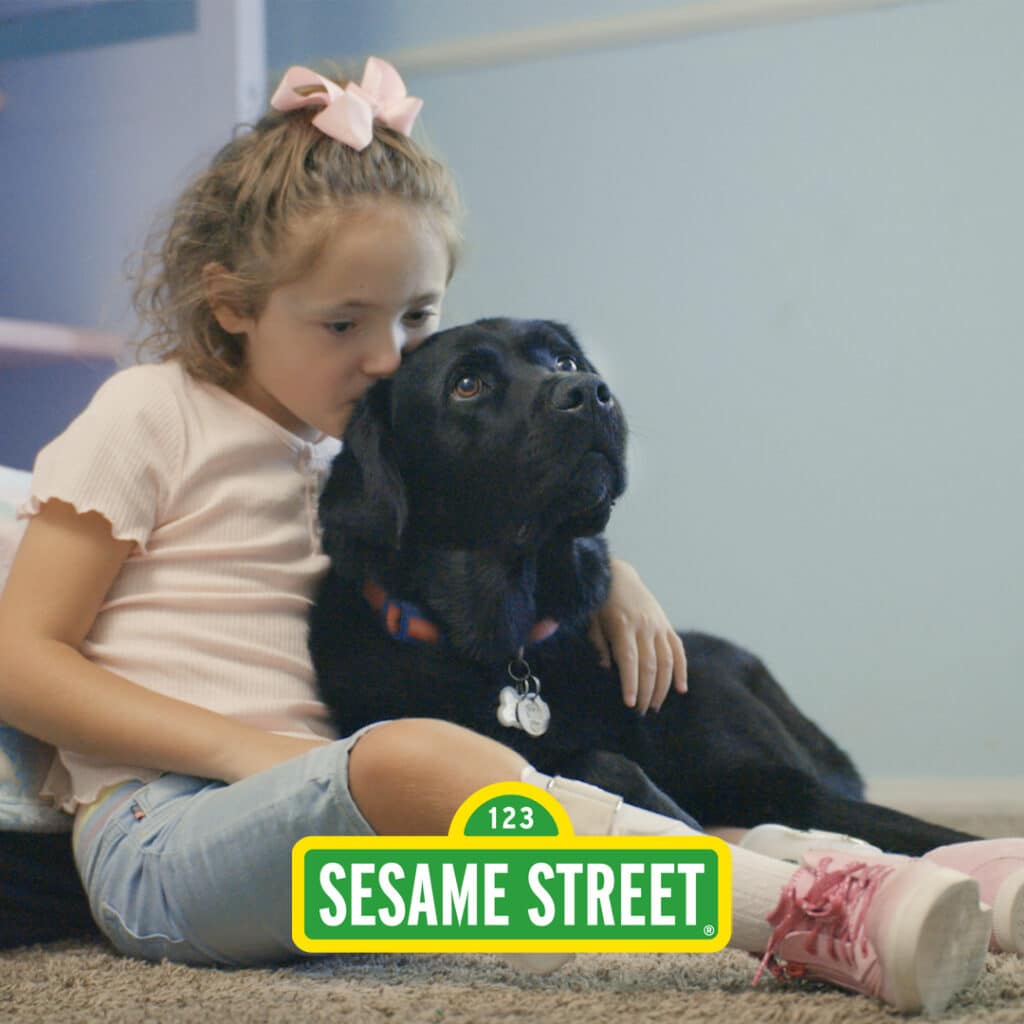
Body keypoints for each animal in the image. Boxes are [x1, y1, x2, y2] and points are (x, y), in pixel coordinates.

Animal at [309, 319, 974, 856]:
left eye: (564, 361)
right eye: (466, 384)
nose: (589, 392)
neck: (512, 652)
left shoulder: (784, 786)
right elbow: (601, 767)